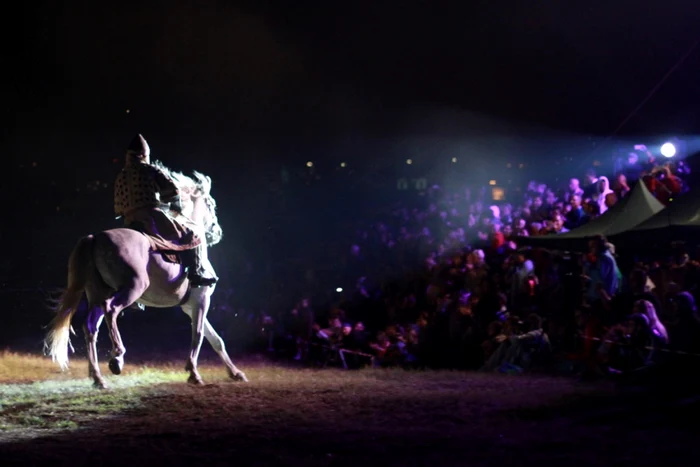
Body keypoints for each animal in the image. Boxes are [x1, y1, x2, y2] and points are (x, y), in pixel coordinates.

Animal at [43, 163, 246, 390]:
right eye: (211, 205)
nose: (217, 232)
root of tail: (95, 238)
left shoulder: (190, 305)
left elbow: (216, 339)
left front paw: (235, 373)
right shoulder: (201, 300)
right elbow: (199, 335)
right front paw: (194, 373)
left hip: (97, 294)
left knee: (90, 327)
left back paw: (98, 377)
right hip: (132, 288)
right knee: (111, 310)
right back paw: (117, 358)